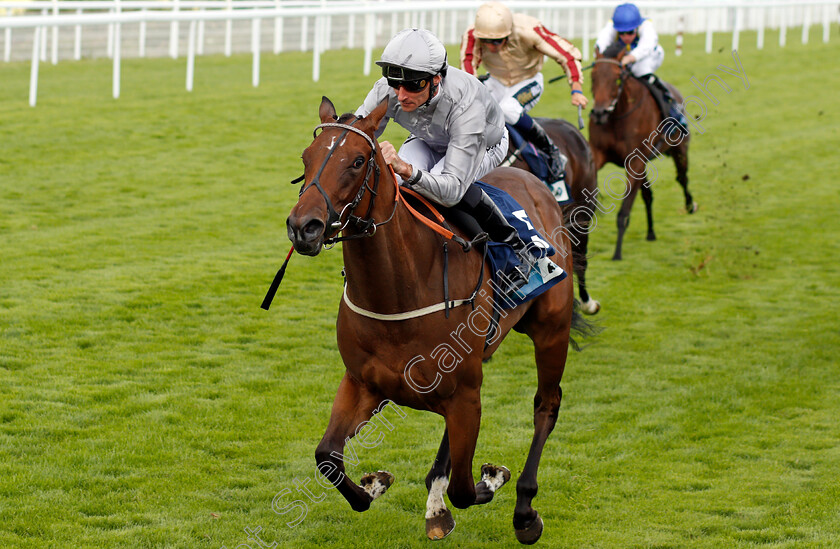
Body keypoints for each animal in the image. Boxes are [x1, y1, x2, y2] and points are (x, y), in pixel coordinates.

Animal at [286, 96, 588, 540]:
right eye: (306, 157)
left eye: (357, 161)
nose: (302, 227)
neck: (398, 292)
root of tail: (533, 181)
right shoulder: (363, 383)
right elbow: (327, 456)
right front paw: (374, 484)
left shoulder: (465, 394)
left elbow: (465, 489)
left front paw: (492, 479)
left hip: (552, 329)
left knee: (546, 406)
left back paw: (524, 509)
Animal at [584, 46, 696, 260]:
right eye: (593, 77)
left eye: (617, 79)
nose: (600, 113)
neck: (618, 117)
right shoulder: (600, 155)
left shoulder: (634, 162)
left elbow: (624, 210)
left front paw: (617, 253)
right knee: (648, 195)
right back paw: (651, 232)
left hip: (680, 149)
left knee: (682, 178)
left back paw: (690, 206)